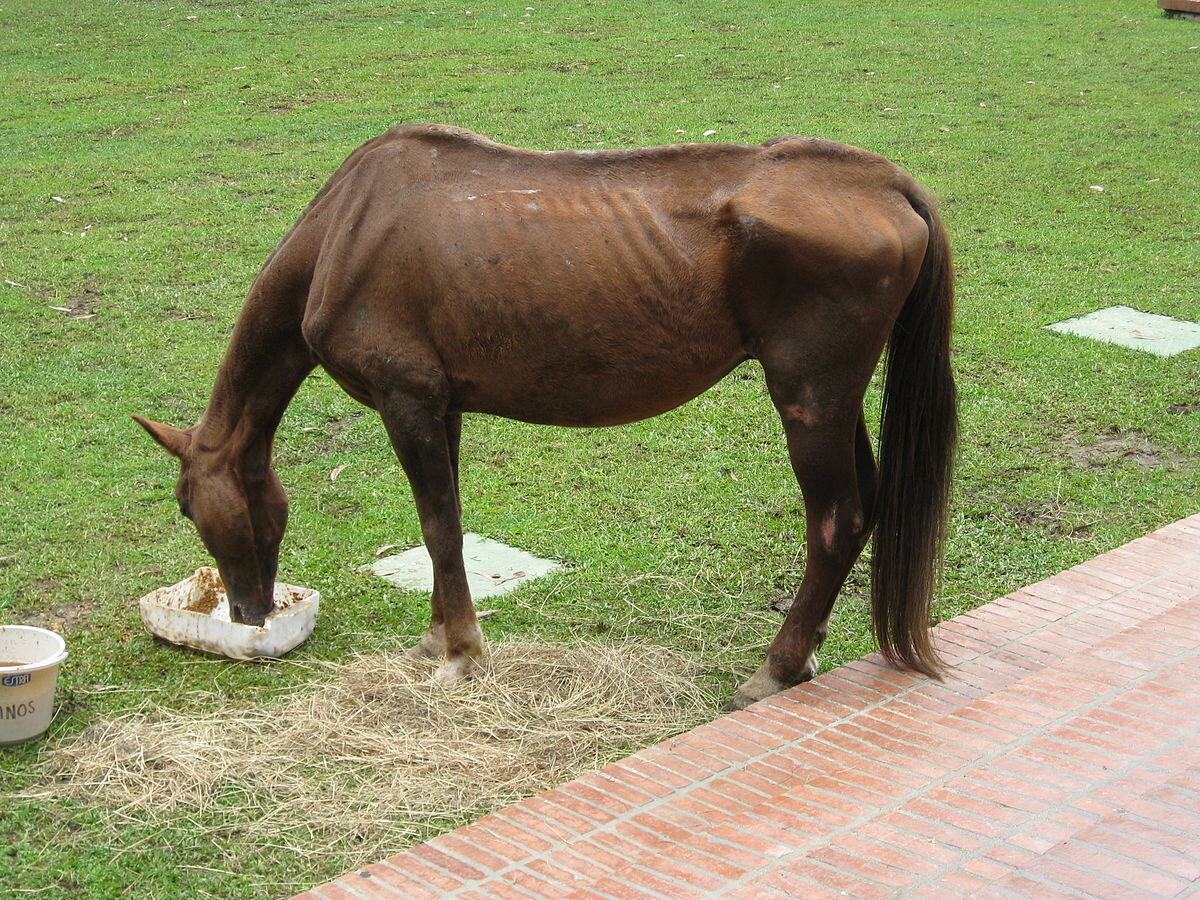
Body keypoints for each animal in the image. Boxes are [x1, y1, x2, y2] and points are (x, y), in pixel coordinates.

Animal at [133, 125, 955, 710]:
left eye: (186, 506)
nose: (247, 611)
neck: (349, 230)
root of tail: (884, 179)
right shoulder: (441, 410)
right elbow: (444, 530)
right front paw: (439, 637)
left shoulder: (408, 404)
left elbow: (438, 528)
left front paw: (461, 654)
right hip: (833, 401)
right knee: (865, 505)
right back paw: (803, 650)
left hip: (808, 400)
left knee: (838, 519)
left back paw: (777, 667)